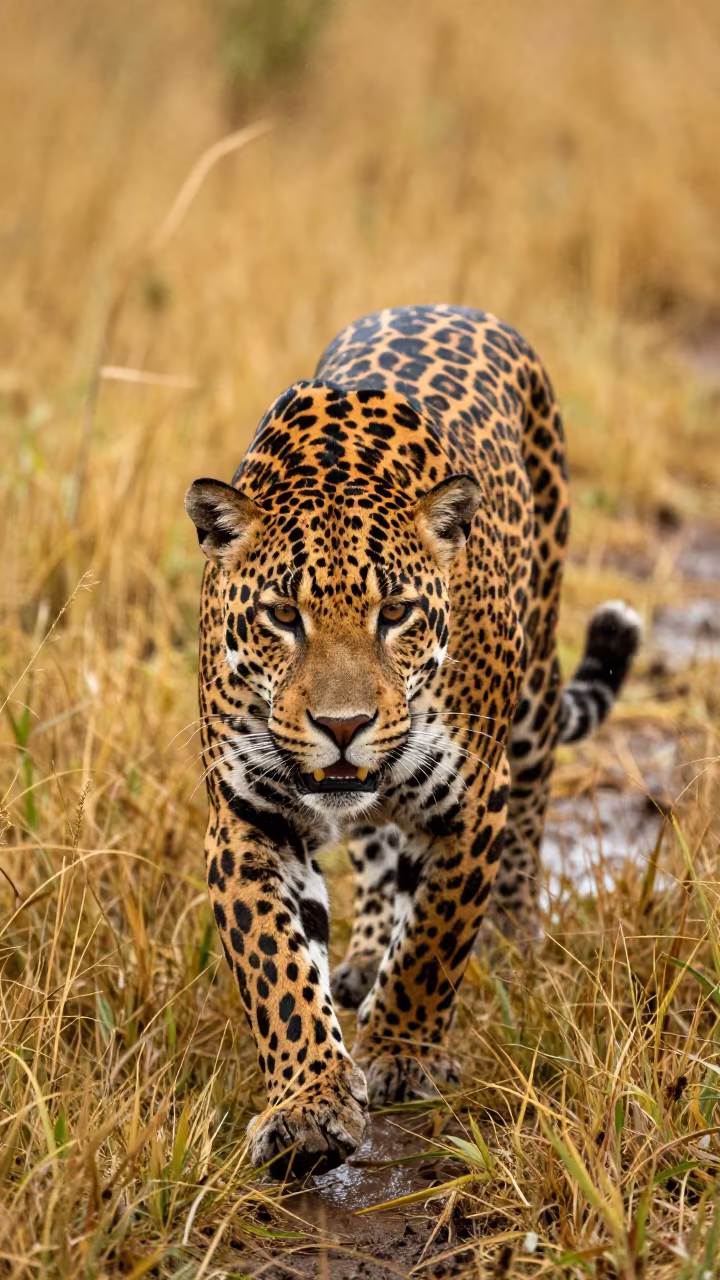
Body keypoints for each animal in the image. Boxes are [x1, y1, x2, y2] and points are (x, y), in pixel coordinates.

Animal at [184, 304, 640, 1178]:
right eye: (281, 616)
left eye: (394, 613)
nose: (342, 727)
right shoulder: (247, 816)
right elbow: (277, 968)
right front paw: (309, 1105)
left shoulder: (474, 799)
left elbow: (435, 935)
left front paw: (399, 1053)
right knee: (374, 850)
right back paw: (363, 954)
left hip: (534, 685)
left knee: (527, 813)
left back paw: (513, 938)